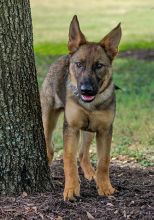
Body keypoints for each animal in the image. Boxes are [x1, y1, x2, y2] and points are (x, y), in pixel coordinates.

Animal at [40, 15, 122, 201]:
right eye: (79, 64)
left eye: (99, 65)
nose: (86, 90)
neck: (90, 104)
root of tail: (65, 55)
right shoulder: (71, 127)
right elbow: (68, 160)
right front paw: (71, 189)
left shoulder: (104, 130)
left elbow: (104, 161)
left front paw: (105, 187)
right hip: (48, 119)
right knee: (50, 146)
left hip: (89, 130)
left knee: (83, 154)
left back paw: (91, 173)